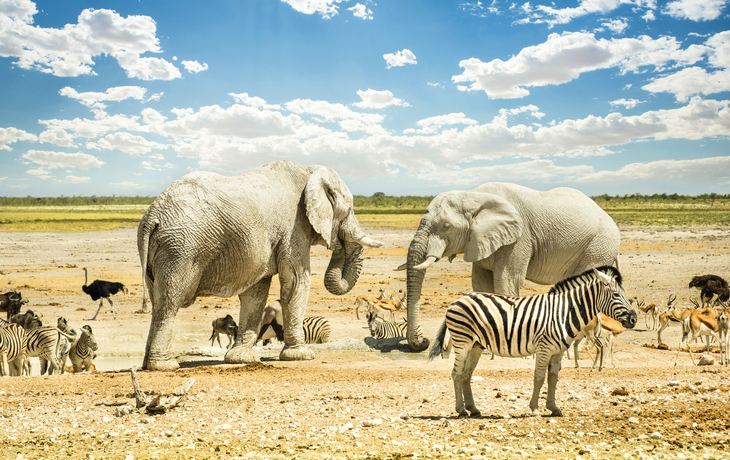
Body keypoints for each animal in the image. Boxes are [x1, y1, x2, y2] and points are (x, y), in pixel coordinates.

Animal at [136, 159, 382, 370]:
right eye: (349, 210)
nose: (338, 243)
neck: (308, 170)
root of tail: (152, 216)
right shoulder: (293, 227)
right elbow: (295, 281)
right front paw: (301, 356)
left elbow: (256, 291)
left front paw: (240, 359)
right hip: (180, 249)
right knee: (170, 302)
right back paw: (164, 366)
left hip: (158, 250)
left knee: (157, 302)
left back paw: (147, 365)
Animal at [400, 181, 616, 350]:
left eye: (446, 227)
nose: (423, 341)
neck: (472, 195)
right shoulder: (480, 240)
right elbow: (482, 284)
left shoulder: (518, 238)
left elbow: (506, 280)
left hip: (598, 245)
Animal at [424, 266, 636, 420]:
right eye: (616, 295)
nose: (634, 318)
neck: (563, 313)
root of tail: (458, 299)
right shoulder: (544, 348)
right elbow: (539, 378)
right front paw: (534, 409)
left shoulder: (558, 351)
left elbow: (553, 379)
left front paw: (553, 408)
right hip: (462, 342)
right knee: (457, 374)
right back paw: (461, 410)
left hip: (476, 345)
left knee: (467, 375)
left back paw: (473, 409)